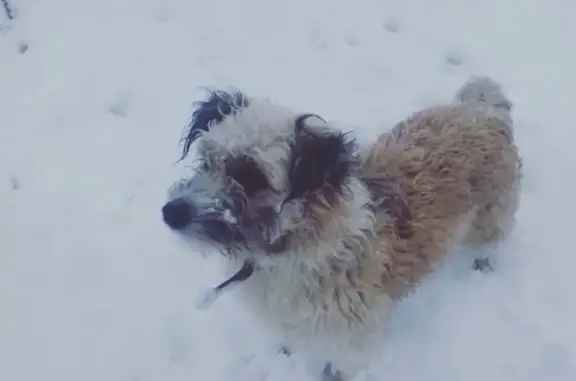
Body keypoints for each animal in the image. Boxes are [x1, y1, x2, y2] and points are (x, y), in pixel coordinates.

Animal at [161, 77, 520, 380]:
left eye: (253, 176)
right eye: (207, 159)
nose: (170, 213)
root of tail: (483, 110)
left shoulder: (353, 336)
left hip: (490, 218)